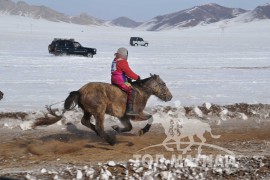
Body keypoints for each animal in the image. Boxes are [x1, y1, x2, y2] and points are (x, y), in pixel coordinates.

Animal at [33, 74, 173, 146]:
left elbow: (128, 127)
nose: (170, 97)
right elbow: (151, 117)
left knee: (85, 121)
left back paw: (100, 134)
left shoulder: (123, 116)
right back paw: (110, 141)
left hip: (88, 111)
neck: (141, 91)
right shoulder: (135, 114)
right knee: (99, 126)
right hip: (99, 111)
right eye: (163, 84)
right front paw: (142, 131)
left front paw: (116, 128)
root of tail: (79, 91)